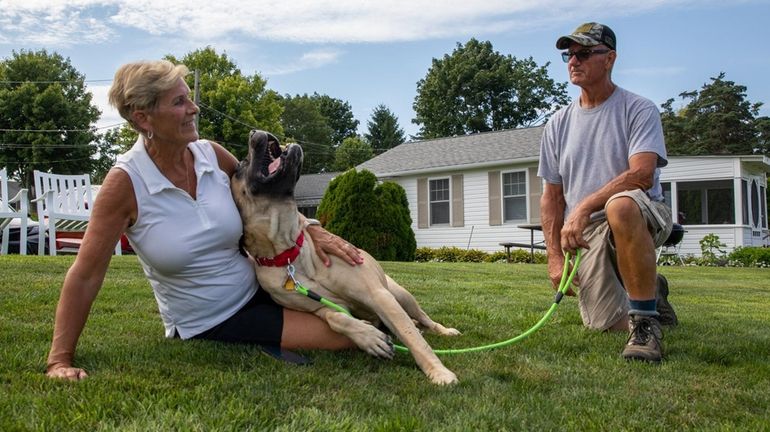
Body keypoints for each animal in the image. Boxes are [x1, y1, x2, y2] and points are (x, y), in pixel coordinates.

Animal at [231, 129, 460, 384]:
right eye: (241, 165)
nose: (254, 131)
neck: (288, 253)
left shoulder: (379, 295)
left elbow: (412, 338)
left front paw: (438, 371)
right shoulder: (320, 309)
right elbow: (336, 318)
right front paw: (370, 337)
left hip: (401, 295)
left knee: (423, 319)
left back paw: (443, 330)